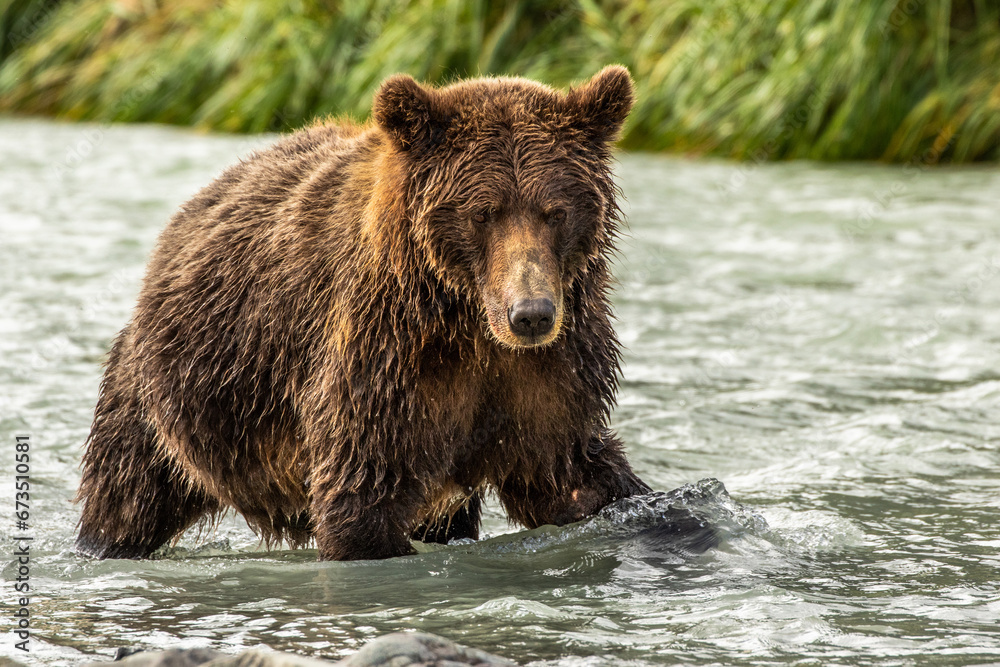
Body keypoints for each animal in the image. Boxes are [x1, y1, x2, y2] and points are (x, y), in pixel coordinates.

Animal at [75, 65, 650, 561]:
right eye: (483, 213)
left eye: (556, 211)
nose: (530, 314)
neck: (467, 324)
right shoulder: (385, 359)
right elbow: (362, 496)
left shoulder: (550, 372)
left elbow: (571, 474)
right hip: (171, 397)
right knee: (127, 495)